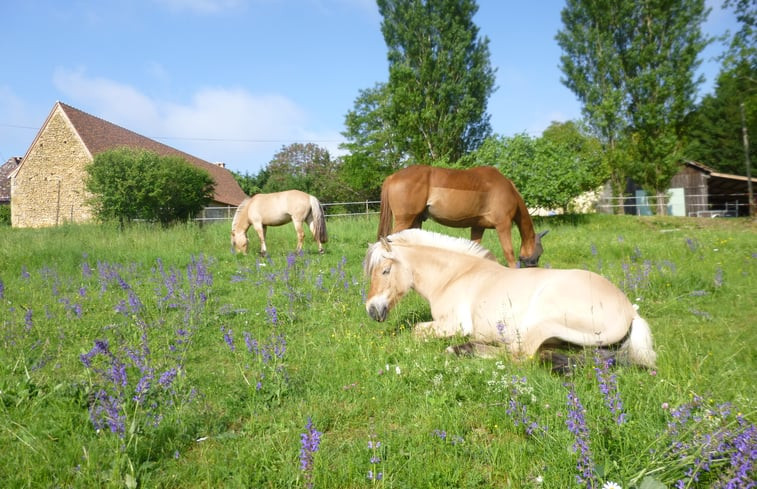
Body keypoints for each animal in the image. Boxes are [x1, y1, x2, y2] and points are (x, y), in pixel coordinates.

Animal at [362, 229, 656, 366]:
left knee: (519, 356)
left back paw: (461, 349)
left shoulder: (452, 325)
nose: (372, 310)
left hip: (540, 322)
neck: (456, 275)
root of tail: (631, 311)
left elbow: (416, 331)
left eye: (385, 270)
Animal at [376, 166, 544, 268]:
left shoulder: (478, 227)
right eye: (540, 252)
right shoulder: (503, 224)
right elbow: (508, 252)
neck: (509, 190)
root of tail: (392, 177)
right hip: (404, 220)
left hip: (415, 222)